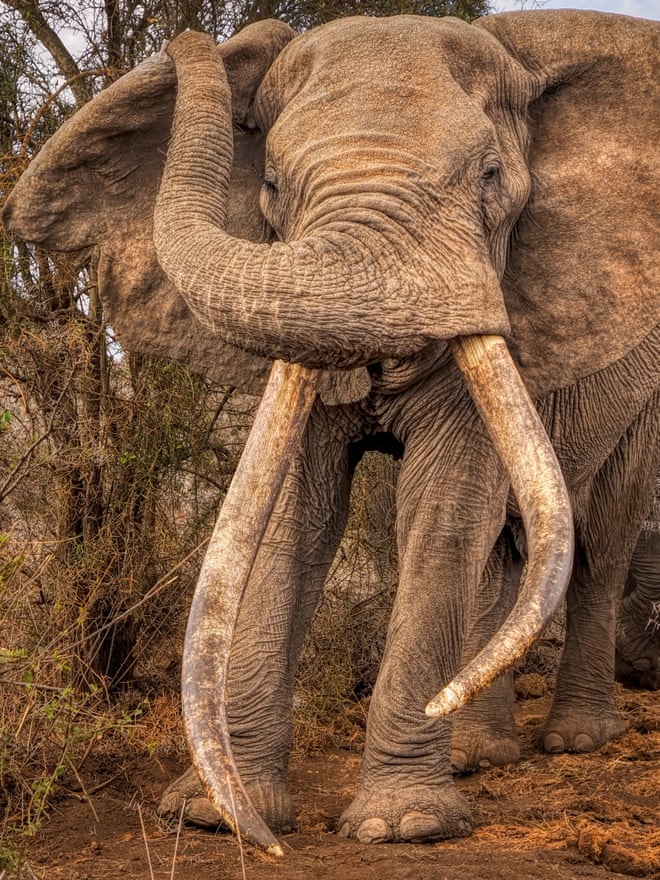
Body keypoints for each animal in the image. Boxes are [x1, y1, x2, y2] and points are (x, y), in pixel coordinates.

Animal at [3, 10, 659, 854]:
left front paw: (403, 827)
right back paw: (478, 754)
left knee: (601, 537)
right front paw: (212, 816)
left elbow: (443, 508)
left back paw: (575, 741)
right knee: (503, 553)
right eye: (272, 187)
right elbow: (292, 515)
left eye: (490, 177)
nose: (216, 40)